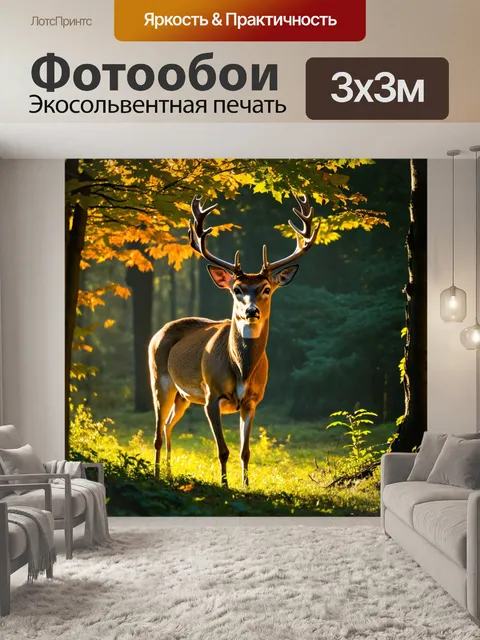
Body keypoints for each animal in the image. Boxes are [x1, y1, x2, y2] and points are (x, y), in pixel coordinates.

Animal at [148, 195, 320, 487]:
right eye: (237, 289)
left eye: (266, 289)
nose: (251, 311)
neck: (241, 370)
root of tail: (158, 332)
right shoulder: (211, 395)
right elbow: (222, 450)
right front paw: (226, 485)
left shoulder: (252, 400)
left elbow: (244, 451)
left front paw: (246, 486)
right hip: (159, 379)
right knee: (158, 433)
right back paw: (158, 474)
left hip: (183, 396)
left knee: (169, 424)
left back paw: (170, 472)